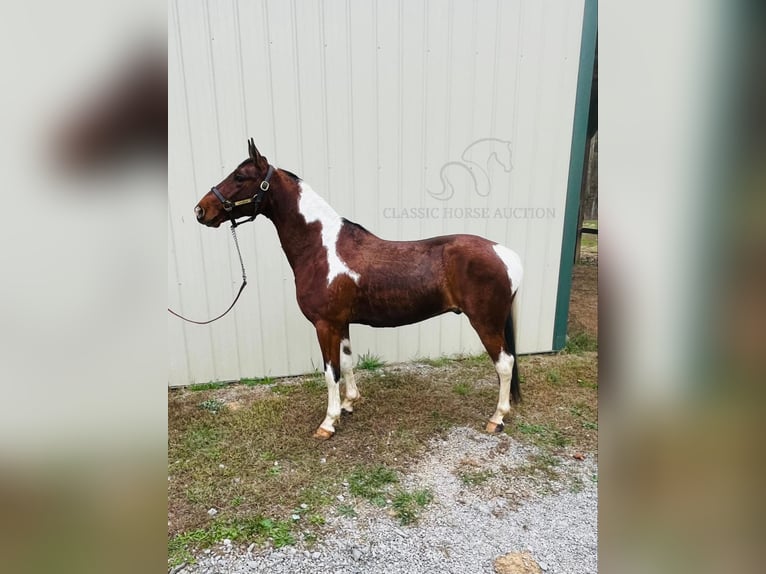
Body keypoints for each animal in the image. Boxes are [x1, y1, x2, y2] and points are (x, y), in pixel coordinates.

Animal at [195, 140, 524, 440]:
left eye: (240, 177)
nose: (200, 210)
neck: (320, 247)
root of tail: (506, 254)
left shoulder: (324, 324)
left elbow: (330, 373)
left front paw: (328, 423)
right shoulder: (341, 323)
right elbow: (348, 362)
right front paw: (349, 404)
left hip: (485, 322)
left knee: (505, 364)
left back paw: (497, 418)